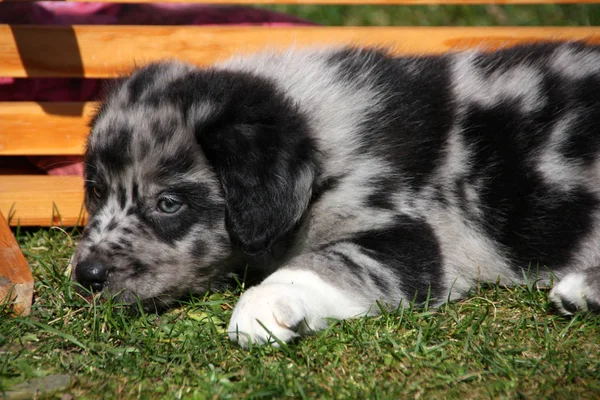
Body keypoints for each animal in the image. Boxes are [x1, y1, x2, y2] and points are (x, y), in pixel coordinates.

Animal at [72, 41, 600, 346]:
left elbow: (322, 262)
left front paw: (263, 304)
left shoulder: (410, 237)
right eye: (95, 190)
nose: (85, 276)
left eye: (169, 203)